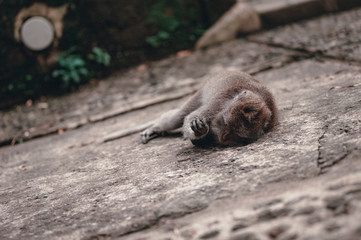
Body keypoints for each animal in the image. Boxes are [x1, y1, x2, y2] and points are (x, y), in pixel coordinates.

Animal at [102, 70, 278, 146]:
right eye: (225, 123)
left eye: (235, 134)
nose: (223, 137)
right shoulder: (218, 104)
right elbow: (188, 118)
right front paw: (200, 131)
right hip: (199, 93)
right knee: (178, 116)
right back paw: (156, 128)